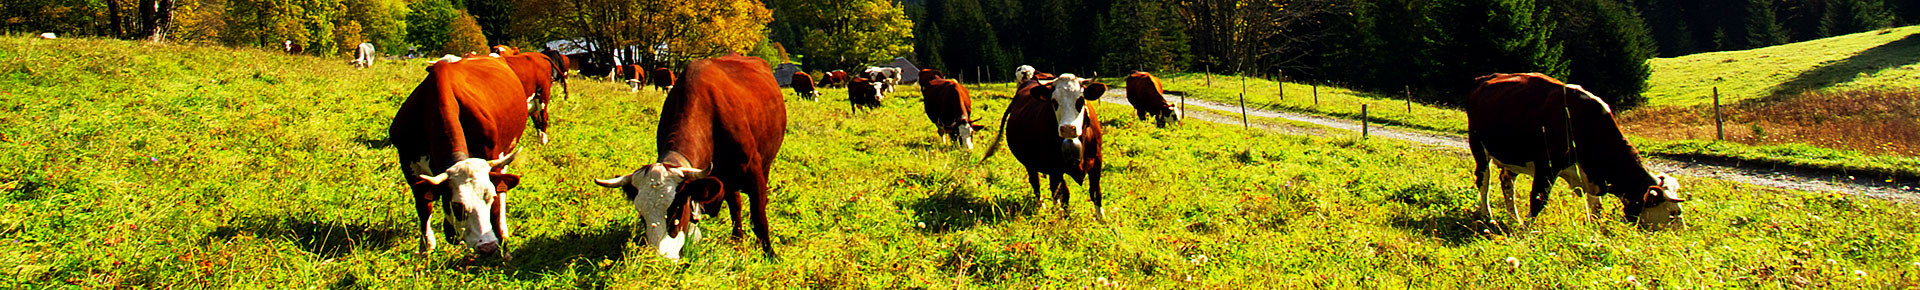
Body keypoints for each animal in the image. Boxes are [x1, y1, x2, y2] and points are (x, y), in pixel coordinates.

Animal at [385, 55, 529, 257]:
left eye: (489, 198)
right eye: (457, 205)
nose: (488, 247)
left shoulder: (490, 155)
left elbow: (497, 204)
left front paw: (503, 247)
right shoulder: (407, 162)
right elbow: (424, 206)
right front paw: (426, 247)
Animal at [591, 53, 787, 259]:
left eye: (676, 210)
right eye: (641, 215)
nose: (660, 258)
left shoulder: (752, 171)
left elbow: (759, 217)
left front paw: (770, 254)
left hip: (764, 164)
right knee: (736, 204)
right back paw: (737, 240)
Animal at [983, 73, 1121, 218]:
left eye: (1080, 100)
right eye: (1054, 102)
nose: (1068, 128)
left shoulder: (1097, 159)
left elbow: (1095, 191)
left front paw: (1102, 219)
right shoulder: (1055, 167)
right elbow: (1064, 193)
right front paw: (1063, 217)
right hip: (1030, 163)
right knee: (1037, 184)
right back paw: (1043, 207)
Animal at [1459, 72, 1689, 231]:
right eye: (1673, 212)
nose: (1682, 234)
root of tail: (1485, 78)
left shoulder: (1592, 175)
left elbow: (1596, 208)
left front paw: (1596, 230)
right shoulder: (1547, 166)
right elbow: (1539, 199)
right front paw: (1526, 230)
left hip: (1514, 156)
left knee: (1507, 181)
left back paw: (1512, 217)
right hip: (1478, 146)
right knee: (1483, 180)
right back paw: (1487, 215)